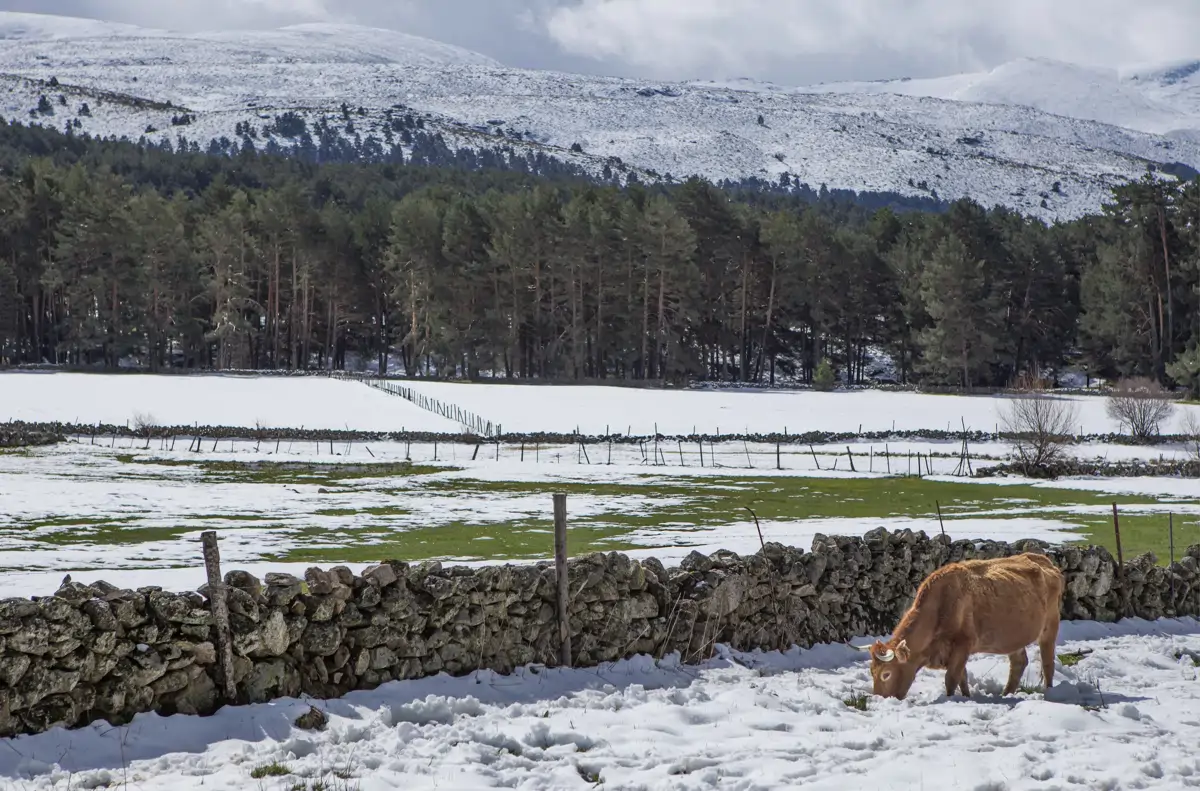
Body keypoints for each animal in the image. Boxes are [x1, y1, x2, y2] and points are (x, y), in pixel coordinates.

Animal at [849, 549, 1065, 700]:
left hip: (1050, 626)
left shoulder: (963, 644)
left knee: (1047, 662)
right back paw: (1006, 694)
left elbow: (951, 678)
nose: (880, 699)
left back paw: (1049, 693)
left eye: (886, 674)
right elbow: (963, 678)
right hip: (1013, 636)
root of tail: (1044, 561)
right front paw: (967, 698)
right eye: (871, 672)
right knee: (1019, 663)